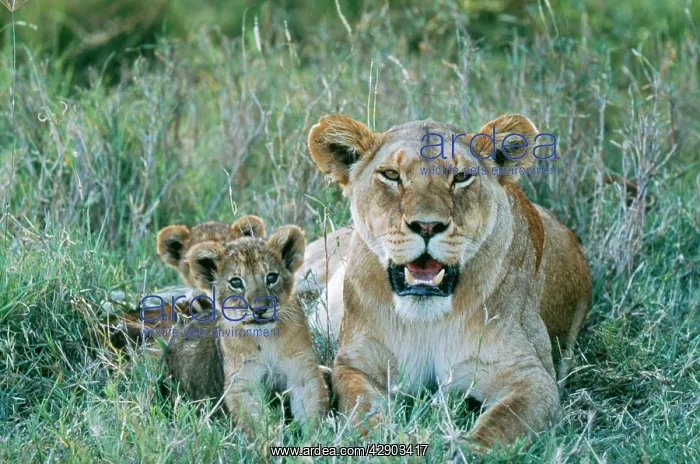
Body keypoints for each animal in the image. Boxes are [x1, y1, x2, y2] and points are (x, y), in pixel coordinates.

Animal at [165, 225, 329, 433]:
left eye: (271, 277)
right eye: (236, 282)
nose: (260, 309)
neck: (266, 338)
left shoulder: (302, 372)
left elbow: (311, 413)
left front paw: (314, 439)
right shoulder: (242, 381)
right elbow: (255, 422)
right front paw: (268, 441)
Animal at [304, 113, 592, 449]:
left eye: (461, 177)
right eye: (391, 175)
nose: (427, 226)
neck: (426, 317)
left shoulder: (532, 375)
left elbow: (501, 425)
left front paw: (464, 448)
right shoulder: (357, 363)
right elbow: (362, 410)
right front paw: (373, 442)